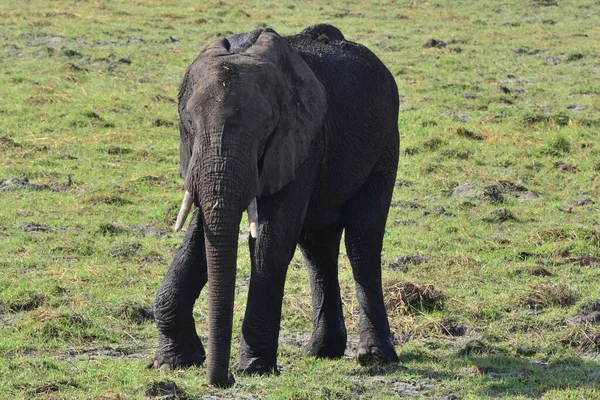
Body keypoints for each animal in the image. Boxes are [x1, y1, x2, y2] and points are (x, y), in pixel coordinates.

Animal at [152, 23, 400, 386]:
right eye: (189, 126)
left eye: (266, 130)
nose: (223, 380)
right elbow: (200, 234)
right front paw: (173, 362)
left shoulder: (302, 141)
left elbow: (271, 241)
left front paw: (254, 367)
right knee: (317, 249)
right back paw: (320, 352)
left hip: (384, 146)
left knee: (362, 243)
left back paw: (375, 358)